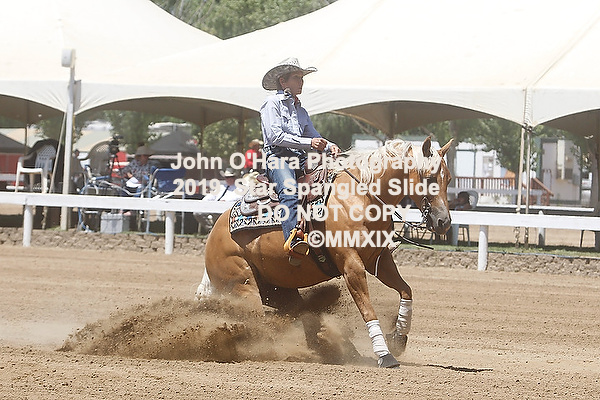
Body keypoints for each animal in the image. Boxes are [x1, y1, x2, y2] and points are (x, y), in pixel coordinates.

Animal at [201, 137, 453, 368]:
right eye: (429, 177)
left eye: (448, 178)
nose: (444, 222)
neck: (361, 198)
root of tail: (214, 235)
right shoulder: (351, 265)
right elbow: (368, 310)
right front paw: (384, 354)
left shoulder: (379, 261)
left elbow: (406, 291)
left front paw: (399, 338)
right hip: (243, 287)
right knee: (258, 323)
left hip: (279, 290)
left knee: (300, 313)